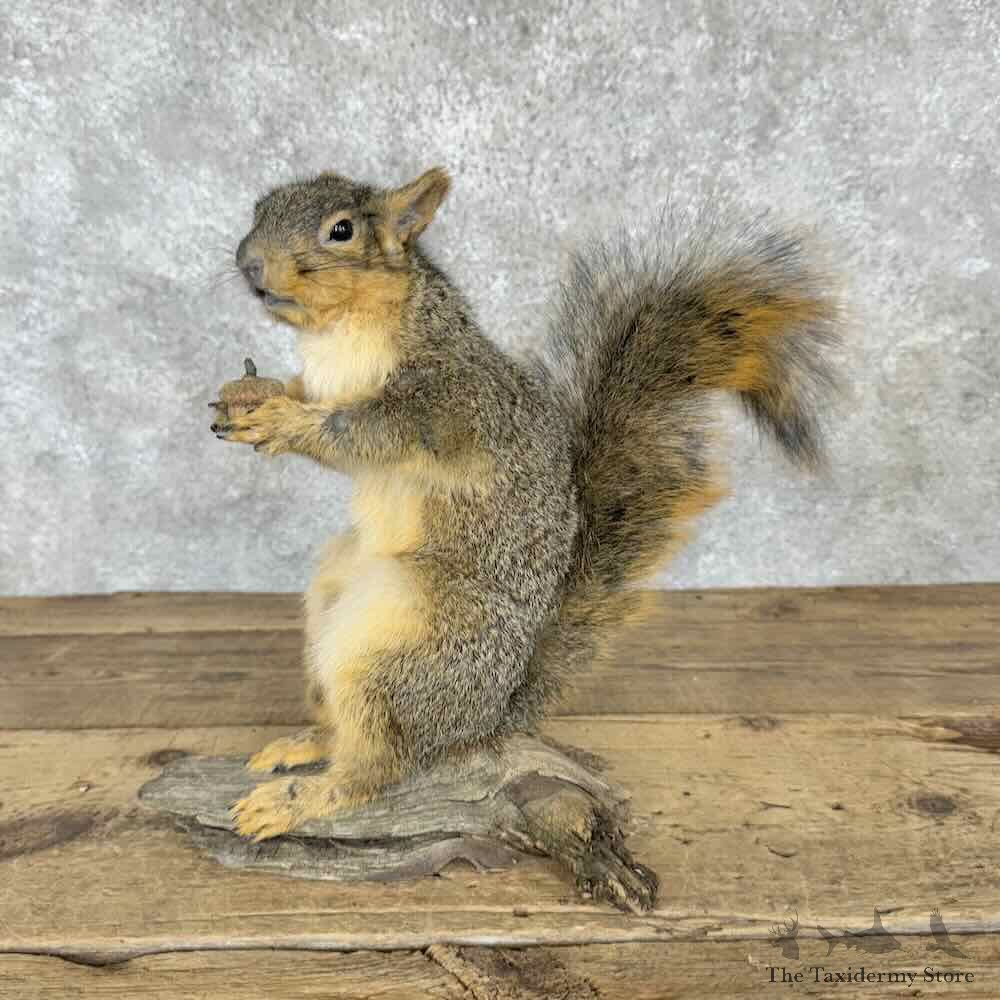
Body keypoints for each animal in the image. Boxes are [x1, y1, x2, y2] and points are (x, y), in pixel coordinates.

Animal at [210, 167, 840, 841]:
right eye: (260, 208)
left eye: (341, 230)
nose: (250, 265)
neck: (338, 336)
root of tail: (495, 711)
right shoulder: (332, 382)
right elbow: (304, 393)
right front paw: (250, 393)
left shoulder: (449, 402)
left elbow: (364, 432)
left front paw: (283, 421)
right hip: (333, 599)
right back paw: (305, 743)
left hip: (402, 647)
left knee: (380, 766)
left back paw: (297, 801)